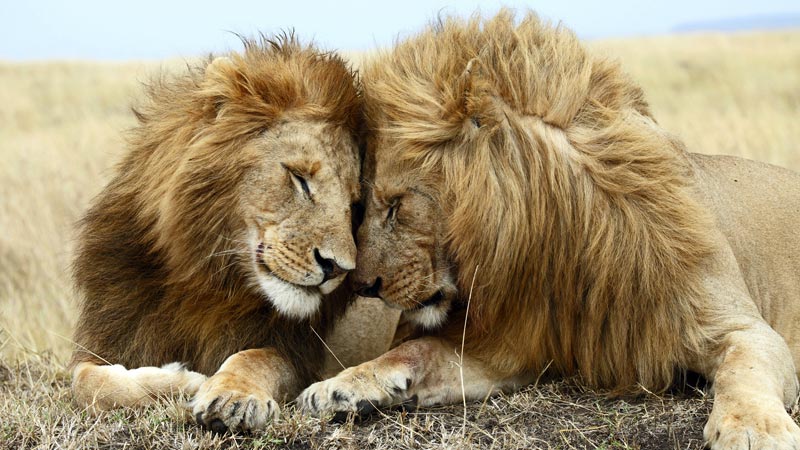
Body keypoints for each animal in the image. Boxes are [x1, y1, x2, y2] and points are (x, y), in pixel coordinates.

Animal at [69, 35, 390, 433]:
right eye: (300, 178)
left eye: (354, 205)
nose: (338, 268)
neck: (207, 278)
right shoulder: (111, 336)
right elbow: (86, 382)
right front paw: (181, 381)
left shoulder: (297, 353)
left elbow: (254, 357)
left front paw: (231, 397)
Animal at [298, 12, 800, 449]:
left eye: (396, 205)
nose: (363, 286)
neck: (561, 241)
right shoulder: (511, 346)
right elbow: (416, 351)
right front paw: (339, 386)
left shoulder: (742, 327)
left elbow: (743, 370)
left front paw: (752, 430)